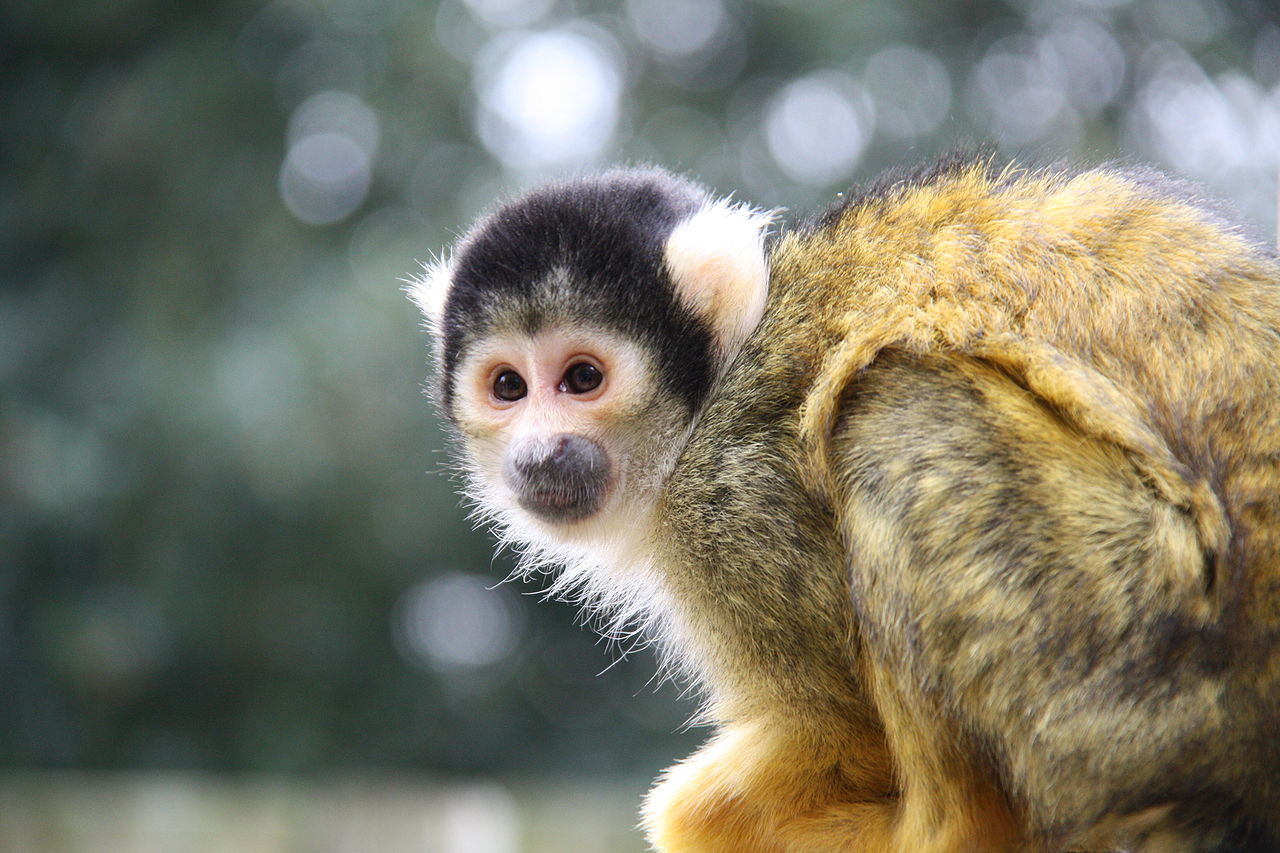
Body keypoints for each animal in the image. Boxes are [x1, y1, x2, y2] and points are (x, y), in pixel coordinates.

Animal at [407, 161, 1280, 850]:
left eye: (583, 378)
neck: (707, 405)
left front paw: (707, 818)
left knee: (895, 407)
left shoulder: (736, 500)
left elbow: (838, 729)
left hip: (1145, 676)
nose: (541, 451)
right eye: (509, 386)